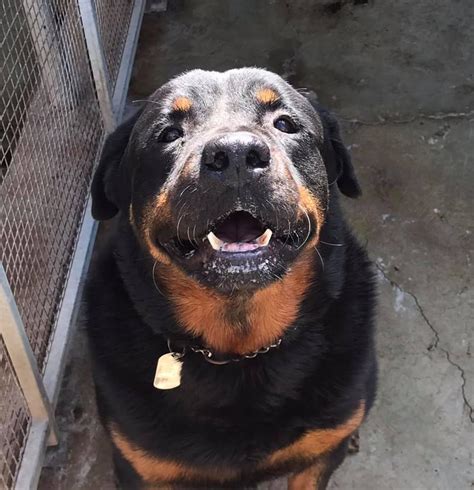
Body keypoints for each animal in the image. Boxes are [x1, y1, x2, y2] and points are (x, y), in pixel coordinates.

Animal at [84, 67, 374, 488]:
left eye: (285, 124)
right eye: (168, 133)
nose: (236, 154)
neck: (238, 350)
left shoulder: (320, 452)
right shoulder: (140, 466)